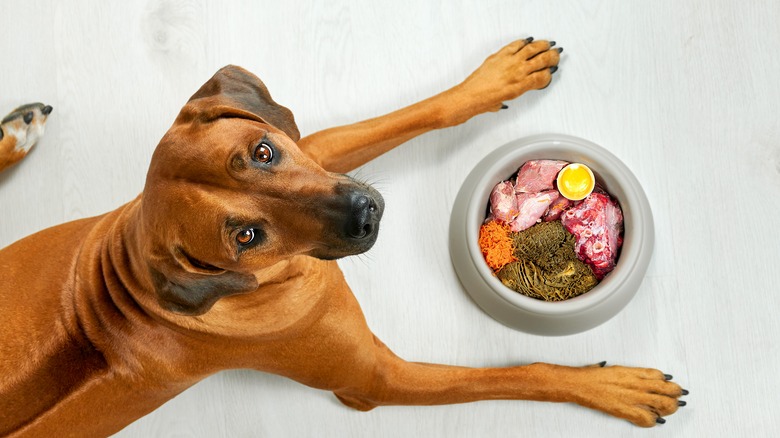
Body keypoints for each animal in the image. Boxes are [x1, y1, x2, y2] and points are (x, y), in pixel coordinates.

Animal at [0, 39, 684, 436]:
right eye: (245, 235)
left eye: (264, 152)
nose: (365, 214)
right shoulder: (373, 381)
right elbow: (517, 374)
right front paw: (611, 387)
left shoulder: (315, 151)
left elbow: (416, 114)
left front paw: (496, 79)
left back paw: (16, 132)